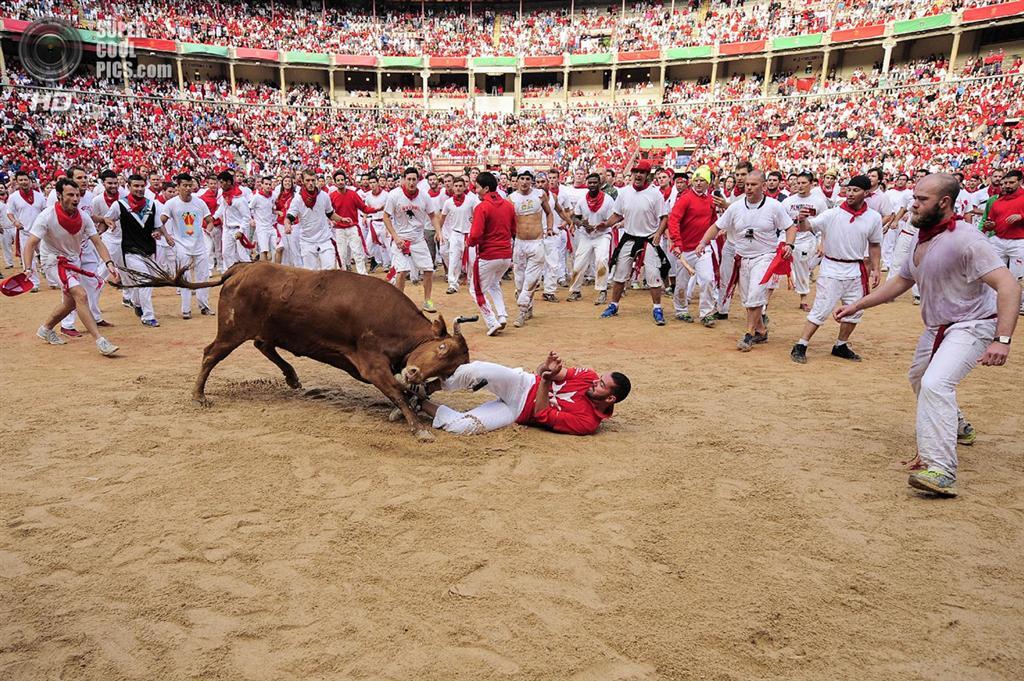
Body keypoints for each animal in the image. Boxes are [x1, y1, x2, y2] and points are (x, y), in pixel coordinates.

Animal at [120, 260, 475, 440]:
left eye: (450, 371)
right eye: (441, 347)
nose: (414, 371)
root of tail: (242, 268)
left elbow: (407, 392)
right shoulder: (371, 365)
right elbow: (399, 391)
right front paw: (418, 428)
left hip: (268, 329)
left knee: (263, 345)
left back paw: (292, 378)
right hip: (232, 330)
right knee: (211, 354)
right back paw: (198, 395)